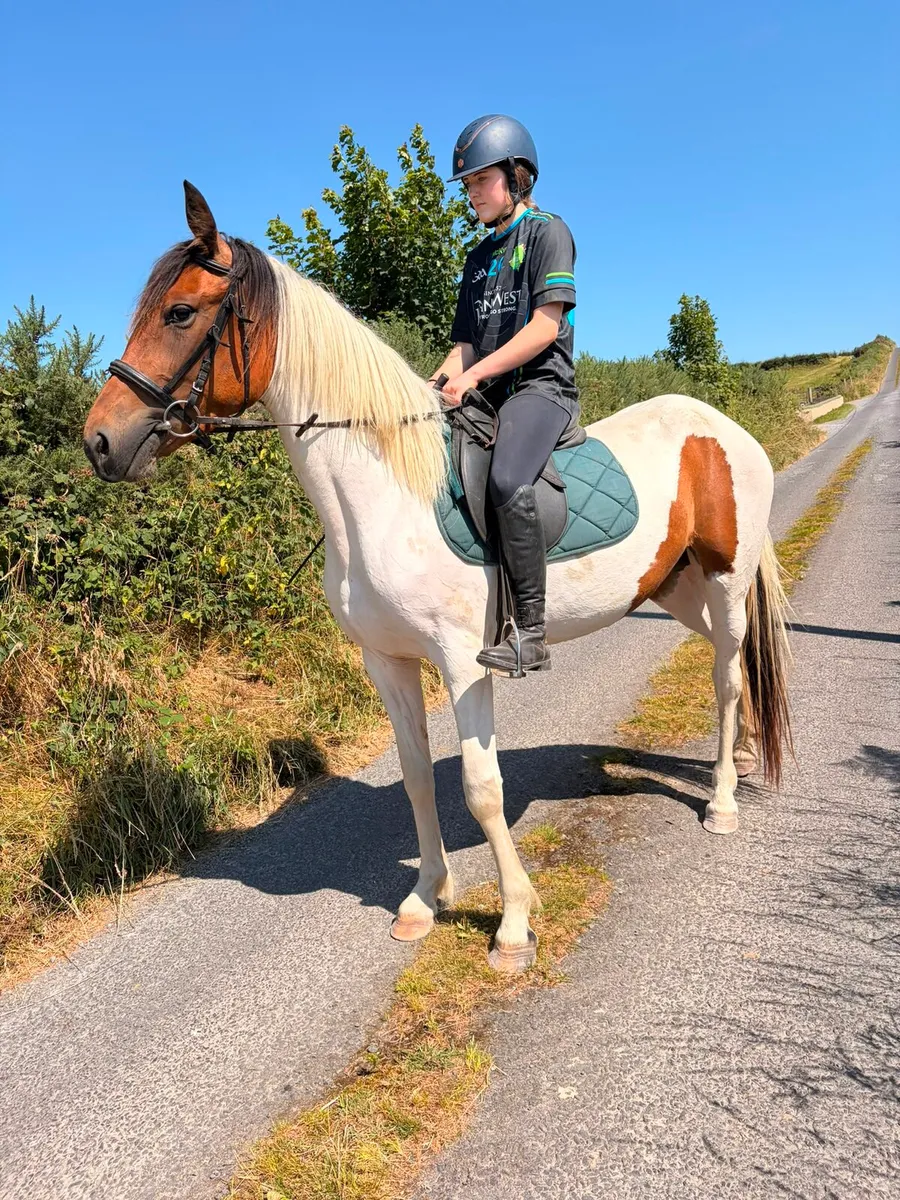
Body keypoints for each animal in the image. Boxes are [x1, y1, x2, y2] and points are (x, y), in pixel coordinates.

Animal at [83, 183, 792, 972]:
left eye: (180, 312)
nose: (99, 442)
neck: (386, 494)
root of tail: (720, 425)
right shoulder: (386, 661)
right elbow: (420, 777)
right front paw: (425, 900)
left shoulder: (464, 662)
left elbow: (480, 788)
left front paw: (512, 926)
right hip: (672, 586)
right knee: (731, 666)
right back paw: (738, 760)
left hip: (724, 582)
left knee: (727, 676)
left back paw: (723, 801)